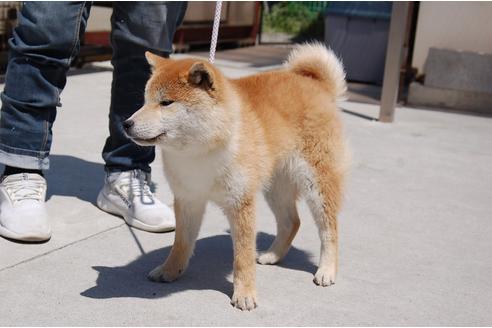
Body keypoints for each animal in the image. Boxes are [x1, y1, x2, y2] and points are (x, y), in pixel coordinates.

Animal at [123, 43, 350, 310]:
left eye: (166, 102)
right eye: (145, 101)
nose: (126, 123)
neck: (200, 151)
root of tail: (316, 84)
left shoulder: (241, 202)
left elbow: (242, 256)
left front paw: (244, 293)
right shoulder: (188, 198)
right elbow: (181, 242)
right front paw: (170, 270)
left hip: (317, 183)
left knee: (329, 228)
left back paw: (327, 269)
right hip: (276, 187)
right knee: (291, 222)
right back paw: (272, 255)